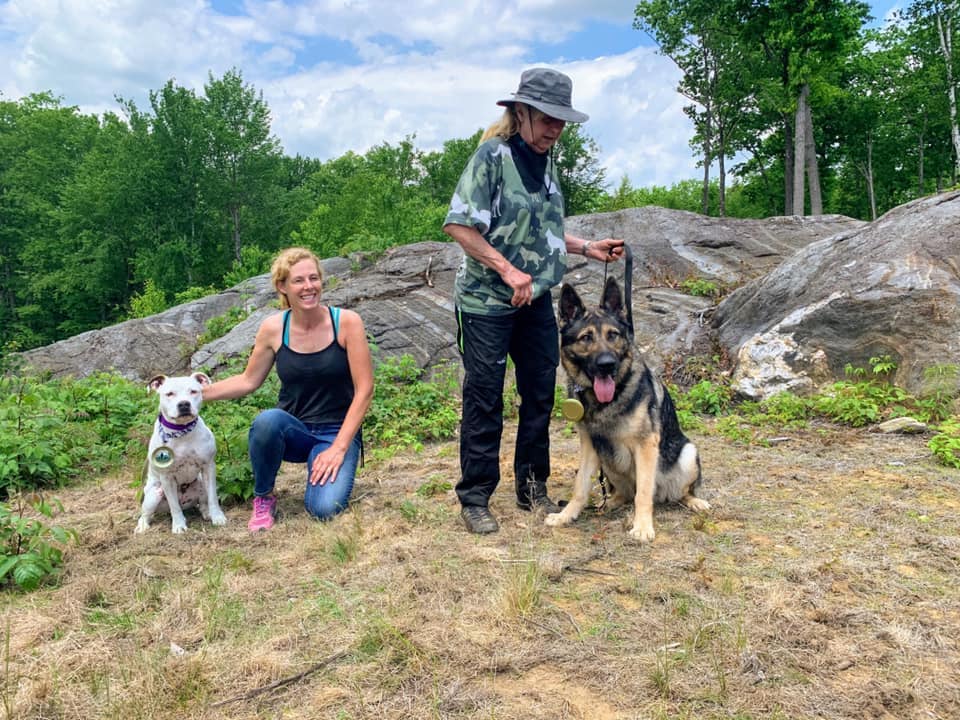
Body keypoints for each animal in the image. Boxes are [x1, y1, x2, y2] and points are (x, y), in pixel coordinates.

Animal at [135, 372, 227, 536]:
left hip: (201, 482)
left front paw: (217, 517)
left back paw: (207, 514)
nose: (184, 404)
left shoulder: (208, 467)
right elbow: (174, 506)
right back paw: (143, 525)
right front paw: (178, 525)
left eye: (193, 391)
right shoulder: (166, 477)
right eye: (170, 394)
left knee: (203, 503)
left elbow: (213, 498)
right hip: (154, 493)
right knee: (146, 513)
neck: (181, 432)